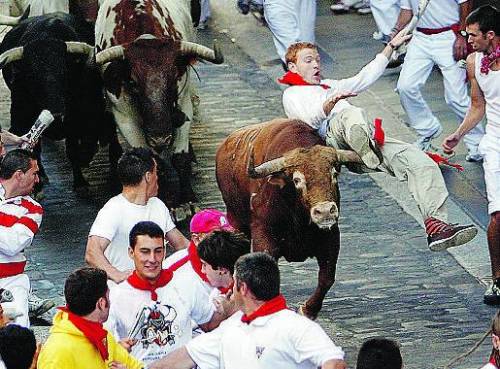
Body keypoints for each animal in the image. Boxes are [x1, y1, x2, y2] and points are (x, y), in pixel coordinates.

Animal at [0, 12, 121, 191]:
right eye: (32, 76)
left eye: (64, 72)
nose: (56, 113)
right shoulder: (21, 116)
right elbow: (34, 147)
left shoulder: (78, 118)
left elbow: (73, 149)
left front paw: (80, 182)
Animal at [217, 118, 362, 320]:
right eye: (297, 180)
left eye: (334, 174)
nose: (325, 211)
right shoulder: (264, 238)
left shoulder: (331, 236)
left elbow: (327, 278)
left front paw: (308, 309)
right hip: (236, 221)